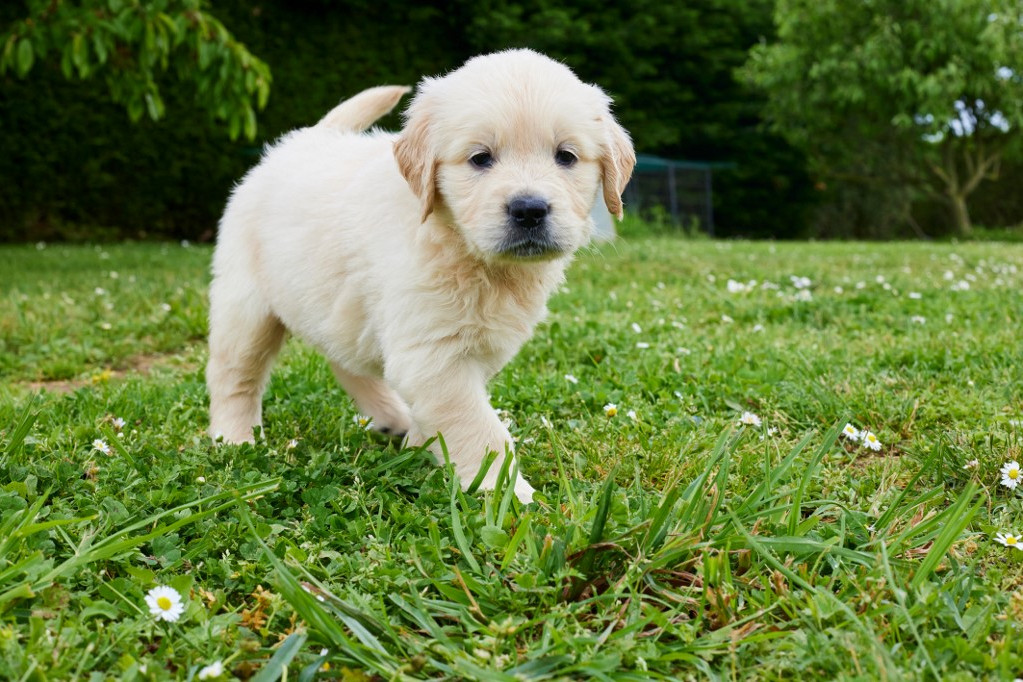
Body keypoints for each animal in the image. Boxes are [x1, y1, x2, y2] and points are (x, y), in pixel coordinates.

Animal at [207, 49, 634, 501]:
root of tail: (297, 142)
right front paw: (511, 496)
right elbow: (480, 430)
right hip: (245, 305)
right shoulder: (434, 356)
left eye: (566, 156)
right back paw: (233, 438)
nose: (529, 209)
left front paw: (422, 444)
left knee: (345, 363)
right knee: (234, 374)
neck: (464, 249)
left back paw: (390, 418)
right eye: (480, 158)